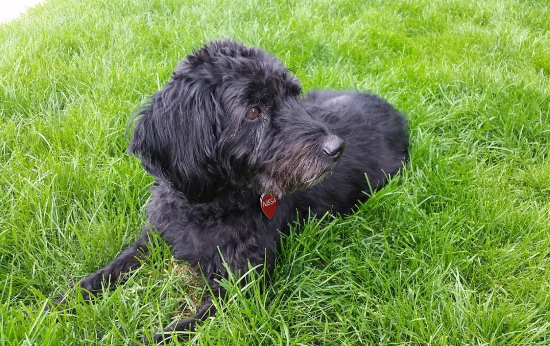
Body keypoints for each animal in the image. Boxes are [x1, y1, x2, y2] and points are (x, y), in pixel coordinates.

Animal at [54, 39, 412, 344]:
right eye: (253, 111)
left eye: (292, 95)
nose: (336, 148)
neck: (207, 208)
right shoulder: (155, 237)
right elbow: (110, 269)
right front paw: (60, 302)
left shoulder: (240, 285)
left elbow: (178, 330)